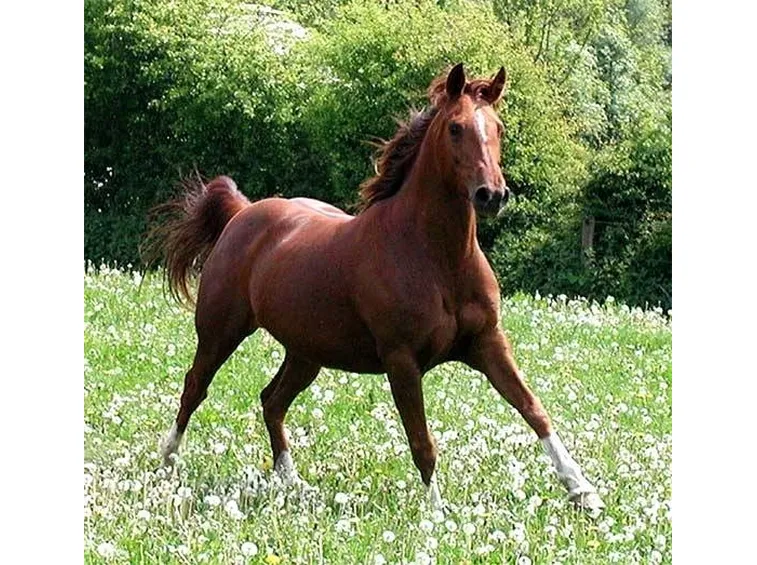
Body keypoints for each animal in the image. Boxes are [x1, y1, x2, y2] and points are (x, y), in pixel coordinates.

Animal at [144, 63, 604, 512]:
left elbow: (534, 410)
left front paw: (583, 492)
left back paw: (293, 482)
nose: (491, 195)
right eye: (455, 128)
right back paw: (168, 462)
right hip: (221, 332)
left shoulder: (488, 343)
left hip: (306, 353)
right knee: (195, 387)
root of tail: (243, 213)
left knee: (272, 400)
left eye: (498, 127)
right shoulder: (402, 361)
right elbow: (423, 442)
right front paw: (436, 514)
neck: (438, 259)